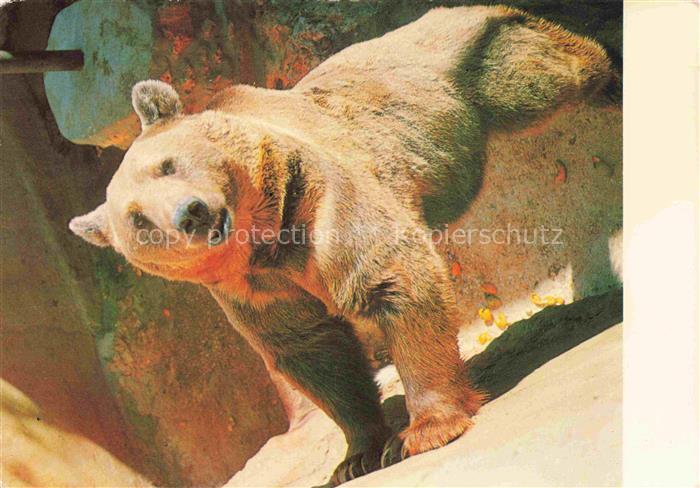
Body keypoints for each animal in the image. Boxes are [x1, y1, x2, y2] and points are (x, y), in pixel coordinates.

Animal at [70, 6, 617, 485]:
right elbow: (313, 349)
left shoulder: (319, 201)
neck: (266, 234)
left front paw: (424, 430)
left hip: (464, 71)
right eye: (138, 219)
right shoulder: (251, 289)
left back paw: (609, 71)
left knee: (543, 74)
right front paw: (357, 455)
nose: (191, 213)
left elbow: (390, 275)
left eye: (167, 164)